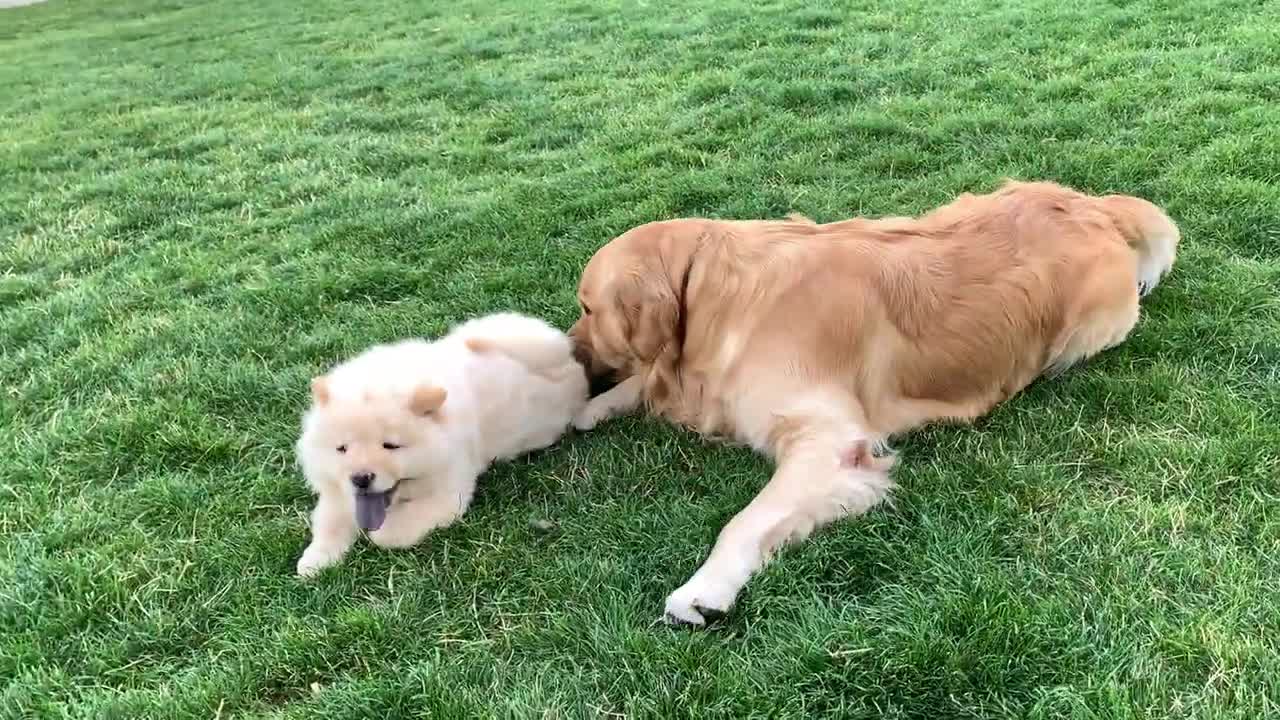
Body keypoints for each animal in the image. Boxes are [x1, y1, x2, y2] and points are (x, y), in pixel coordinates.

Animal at [293, 311, 586, 573]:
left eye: (391, 446)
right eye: (342, 449)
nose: (360, 478)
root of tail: (569, 365)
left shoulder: (447, 496)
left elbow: (390, 532)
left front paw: (373, 534)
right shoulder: (336, 493)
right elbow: (328, 523)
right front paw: (314, 562)